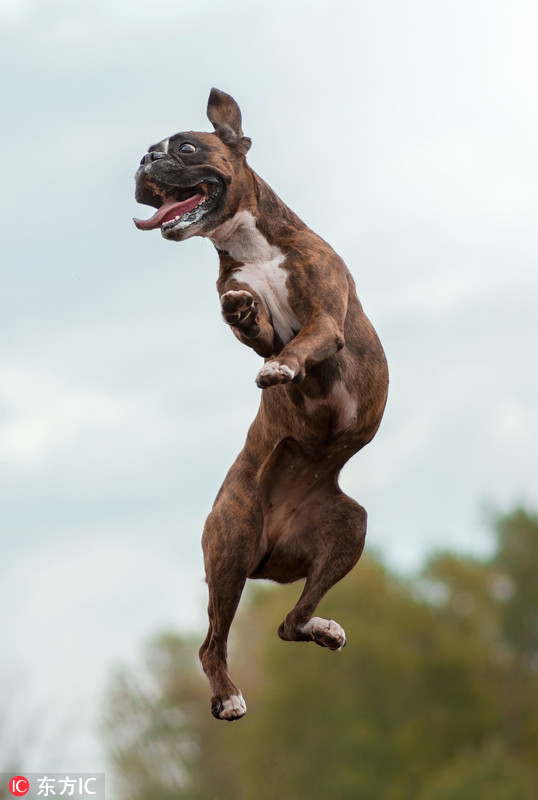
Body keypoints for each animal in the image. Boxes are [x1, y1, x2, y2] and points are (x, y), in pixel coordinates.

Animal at [132, 90, 388, 720]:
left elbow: (298, 345)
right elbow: (265, 336)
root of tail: (272, 553)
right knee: (214, 643)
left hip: (348, 528)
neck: (252, 244)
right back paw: (227, 697)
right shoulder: (269, 329)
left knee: (290, 622)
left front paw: (276, 361)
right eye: (151, 151)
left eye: (185, 147)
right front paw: (246, 317)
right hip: (231, 547)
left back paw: (323, 628)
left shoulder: (324, 321)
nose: (146, 159)